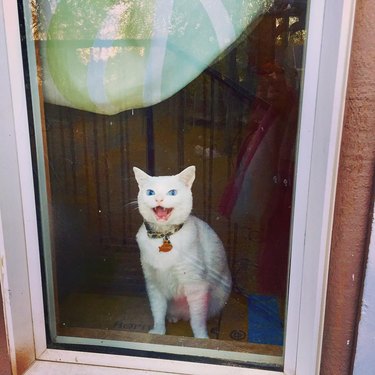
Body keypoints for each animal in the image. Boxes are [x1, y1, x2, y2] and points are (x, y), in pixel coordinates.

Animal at [132, 166, 232, 340]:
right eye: (150, 192)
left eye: (172, 192)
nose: (158, 199)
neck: (164, 236)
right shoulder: (154, 284)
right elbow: (158, 311)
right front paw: (158, 332)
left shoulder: (196, 286)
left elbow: (197, 320)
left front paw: (201, 339)